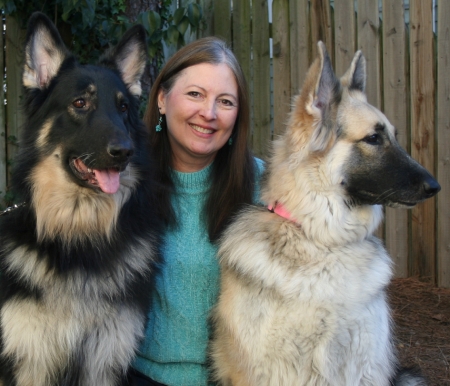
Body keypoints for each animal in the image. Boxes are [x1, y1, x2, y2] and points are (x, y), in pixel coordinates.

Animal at [0, 12, 161, 386]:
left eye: (123, 107)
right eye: (80, 103)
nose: (124, 153)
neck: (77, 235)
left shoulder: (104, 360)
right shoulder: (29, 361)